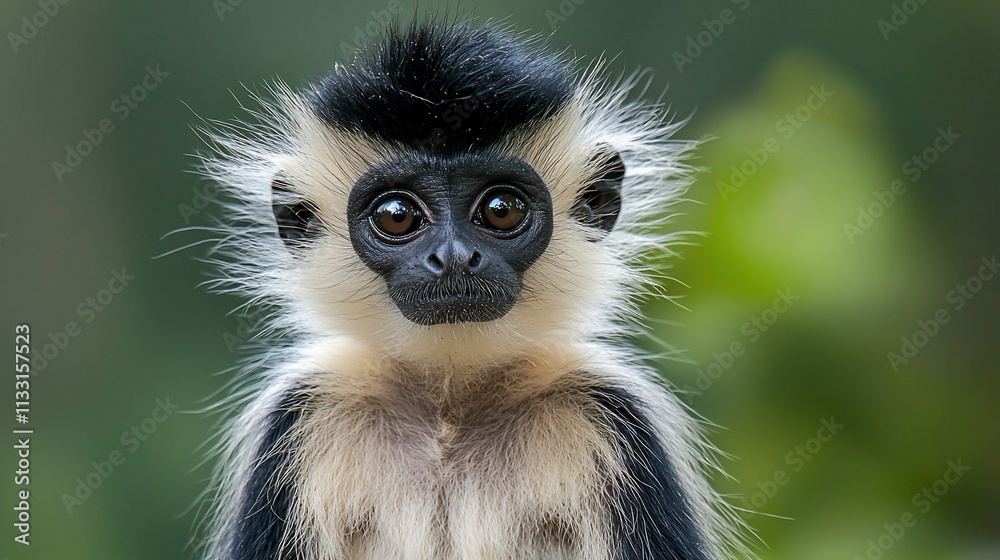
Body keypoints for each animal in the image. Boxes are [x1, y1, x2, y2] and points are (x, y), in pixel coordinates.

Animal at [195, 16, 748, 560]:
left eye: (501, 209)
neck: (449, 408)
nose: (455, 257)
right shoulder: (305, 411)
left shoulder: (609, 412)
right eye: (396, 216)